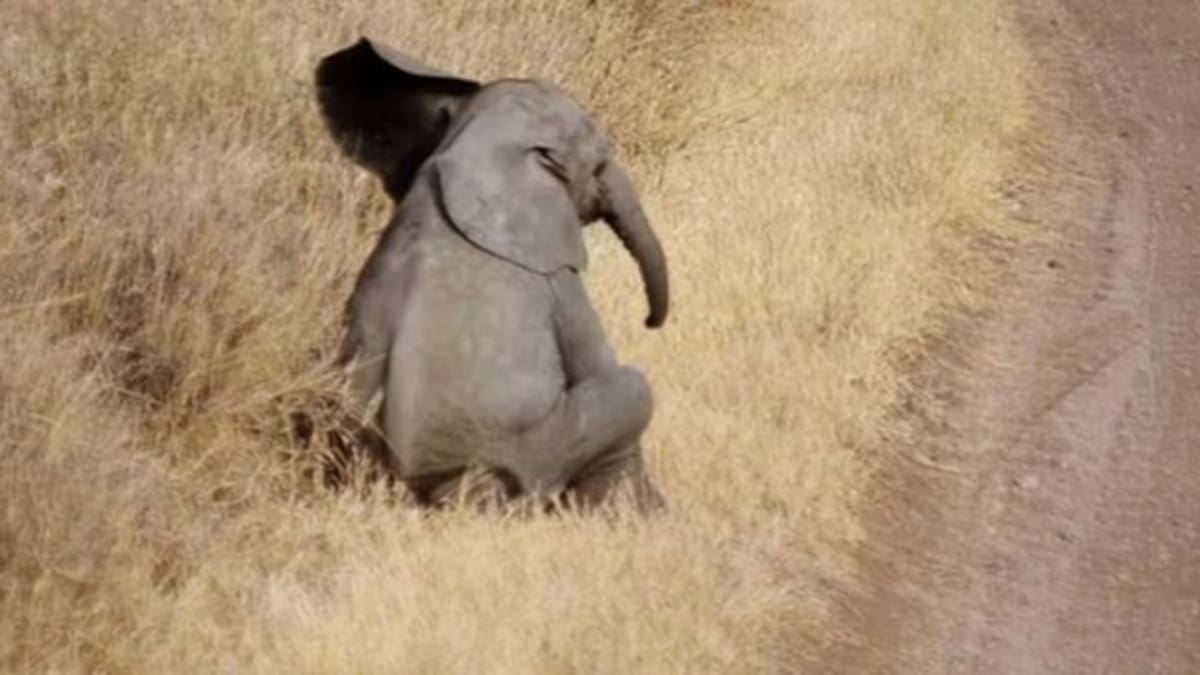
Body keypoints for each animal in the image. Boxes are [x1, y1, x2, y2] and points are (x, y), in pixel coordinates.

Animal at [314, 37, 669, 512]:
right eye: (599, 165)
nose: (650, 321)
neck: (479, 145)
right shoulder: (554, 274)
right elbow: (595, 361)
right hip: (532, 453)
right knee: (633, 392)